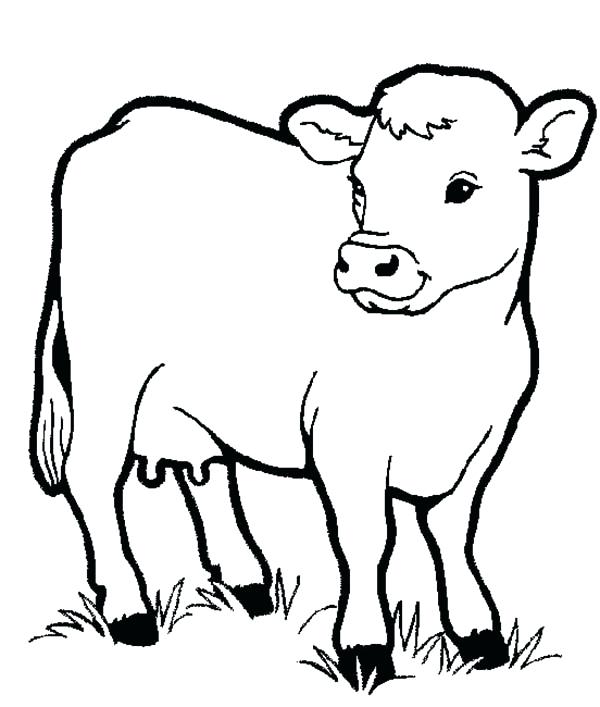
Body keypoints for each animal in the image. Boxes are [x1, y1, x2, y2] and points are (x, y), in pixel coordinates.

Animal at [31, 64, 594, 687]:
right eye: (360, 186)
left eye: (462, 187)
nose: (366, 260)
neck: (443, 354)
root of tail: (132, 119)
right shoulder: (344, 441)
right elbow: (368, 540)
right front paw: (366, 649)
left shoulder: (485, 439)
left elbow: (453, 534)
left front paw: (479, 637)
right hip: (108, 369)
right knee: (92, 474)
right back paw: (130, 610)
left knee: (207, 470)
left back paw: (249, 582)